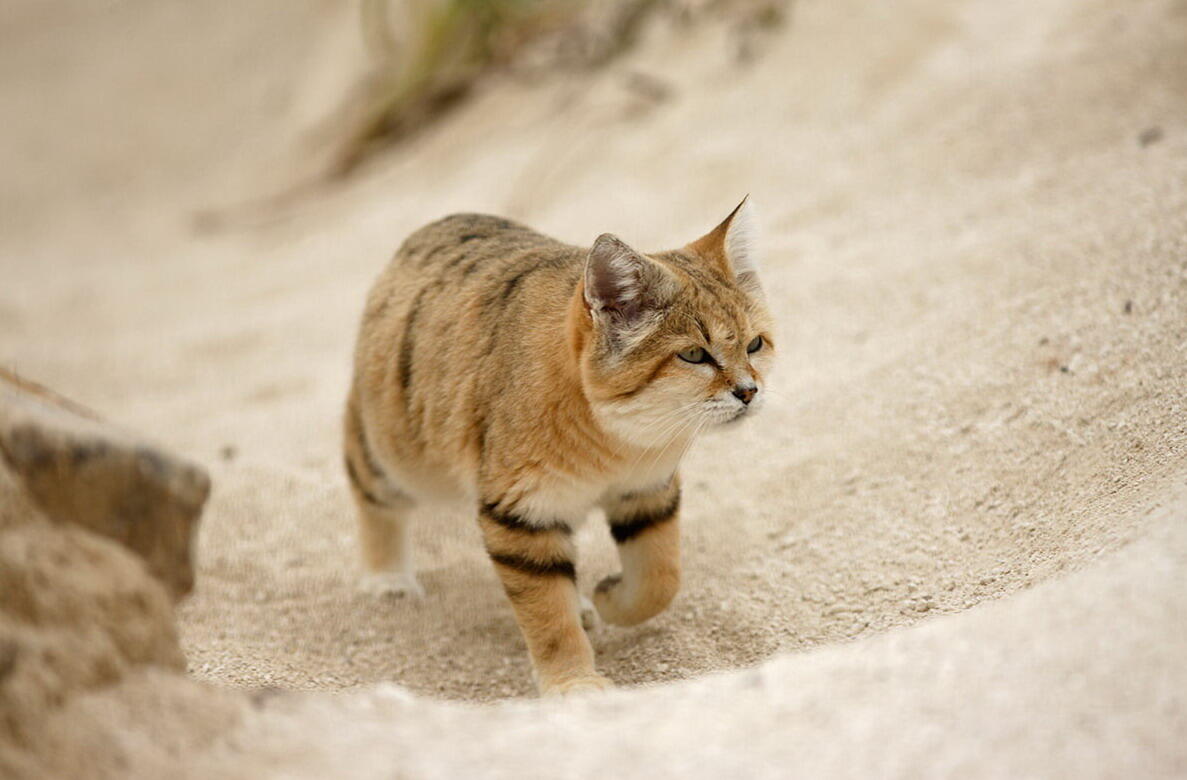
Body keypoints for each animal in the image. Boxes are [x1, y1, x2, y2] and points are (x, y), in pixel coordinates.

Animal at [344, 199, 769, 693]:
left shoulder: (647, 491)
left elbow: (660, 578)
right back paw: (387, 577)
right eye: (695, 355)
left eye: (755, 345)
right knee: (372, 495)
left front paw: (609, 598)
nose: (749, 391)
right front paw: (574, 684)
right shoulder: (521, 515)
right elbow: (548, 616)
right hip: (393, 454)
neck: (611, 440)